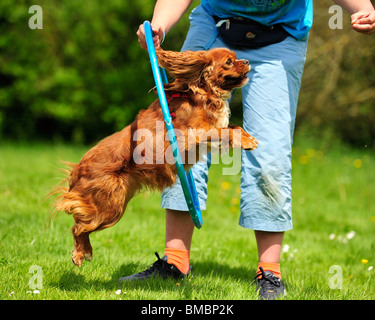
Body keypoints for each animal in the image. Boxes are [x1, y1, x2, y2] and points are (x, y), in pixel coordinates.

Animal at [53, 47, 258, 266]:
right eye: (229, 61)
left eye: (236, 57)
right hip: (109, 206)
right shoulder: (190, 136)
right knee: (78, 227)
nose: (247, 61)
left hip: (114, 206)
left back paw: (85, 250)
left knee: (81, 222)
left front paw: (249, 138)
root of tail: (77, 169)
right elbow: (224, 131)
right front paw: (246, 141)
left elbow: (233, 127)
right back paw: (79, 253)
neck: (203, 94)